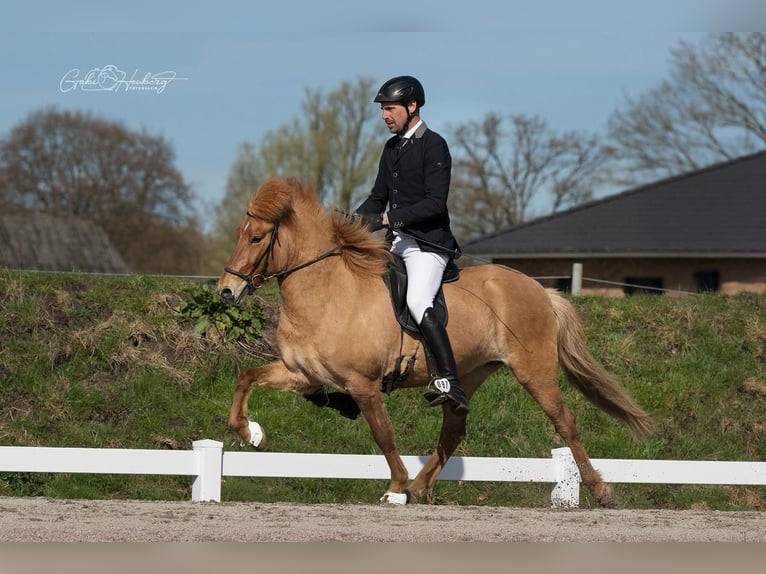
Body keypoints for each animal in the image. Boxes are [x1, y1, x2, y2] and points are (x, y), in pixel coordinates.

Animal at [216, 177, 652, 506]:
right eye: (240, 234)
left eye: (256, 238)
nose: (226, 292)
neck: (327, 291)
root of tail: (539, 290)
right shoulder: (303, 374)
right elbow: (245, 377)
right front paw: (252, 433)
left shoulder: (363, 383)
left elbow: (383, 434)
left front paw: (393, 488)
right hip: (469, 374)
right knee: (454, 431)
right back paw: (419, 487)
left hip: (534, 371)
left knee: (565, 422)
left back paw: (601, 491)